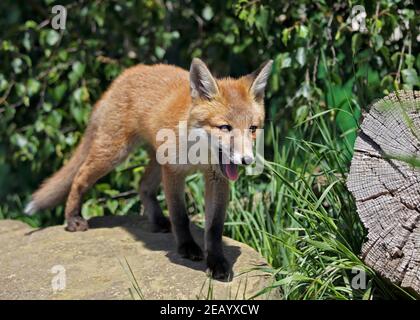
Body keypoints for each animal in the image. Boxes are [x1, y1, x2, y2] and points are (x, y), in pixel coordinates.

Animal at [24, 58, 272, 278]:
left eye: (252, 128)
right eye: (225, 127)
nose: (247, 160)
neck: (200, 155)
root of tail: (126, 73)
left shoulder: (216, 178)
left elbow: (214, 228)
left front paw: (217, 262)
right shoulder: (173, 171)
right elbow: (180, 216)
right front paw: (187, 248)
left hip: (153, 159)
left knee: (142, 186)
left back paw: (158, 220)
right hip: (114, 153)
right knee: (80, 177)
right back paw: (72, 218)